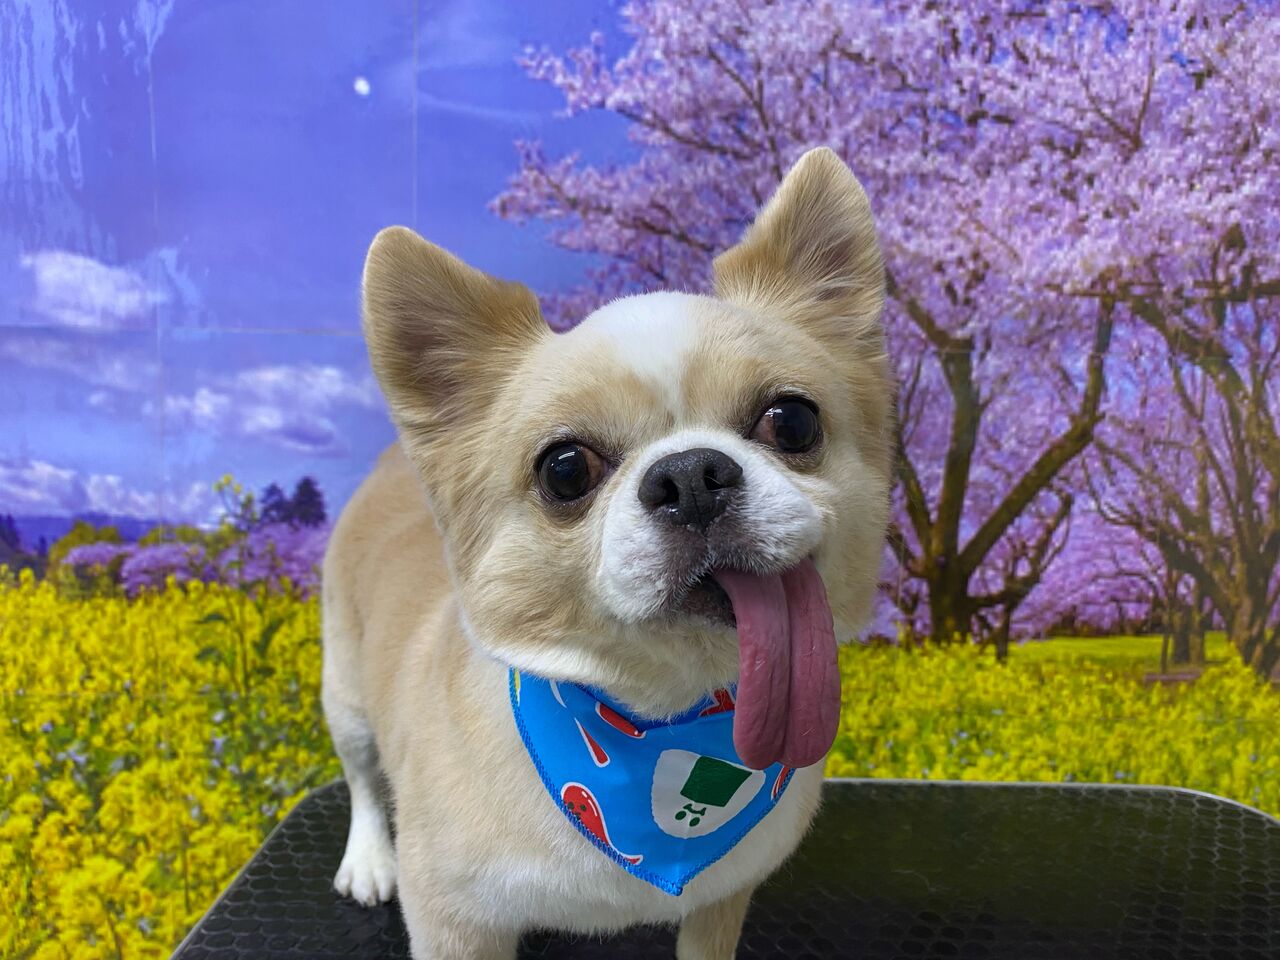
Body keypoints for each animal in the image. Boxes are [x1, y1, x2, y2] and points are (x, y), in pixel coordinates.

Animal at [320, 147, 893, 959]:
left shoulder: (721, 899)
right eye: (565, 470)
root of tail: (389, 464)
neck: (658, 721)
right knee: (363, 778)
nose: (692, 476)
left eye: (793, 422)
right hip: (344, 692)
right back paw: (369, 857)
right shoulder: (454, 922)